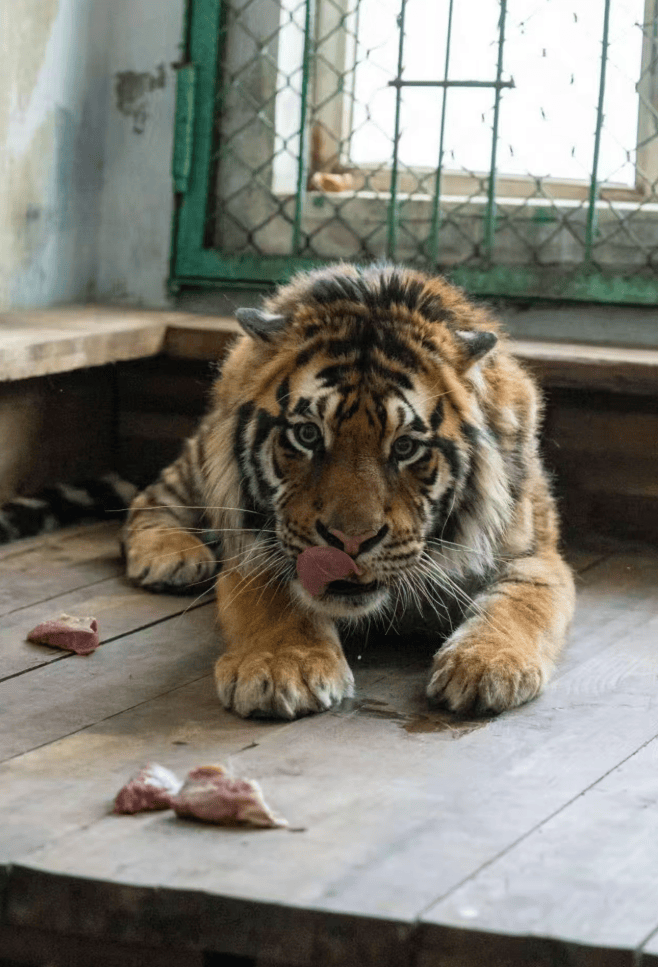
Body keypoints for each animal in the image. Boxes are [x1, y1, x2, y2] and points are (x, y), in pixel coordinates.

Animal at [123, 263, 575, 720]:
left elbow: (519, 603)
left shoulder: (533, 553)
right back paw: (172, 557)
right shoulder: (254, 545)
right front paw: (283, 667)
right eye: (307, 435)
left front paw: (487, 666)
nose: (350, 542)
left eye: (405, 447)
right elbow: (275, 593)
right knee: (151, 498)